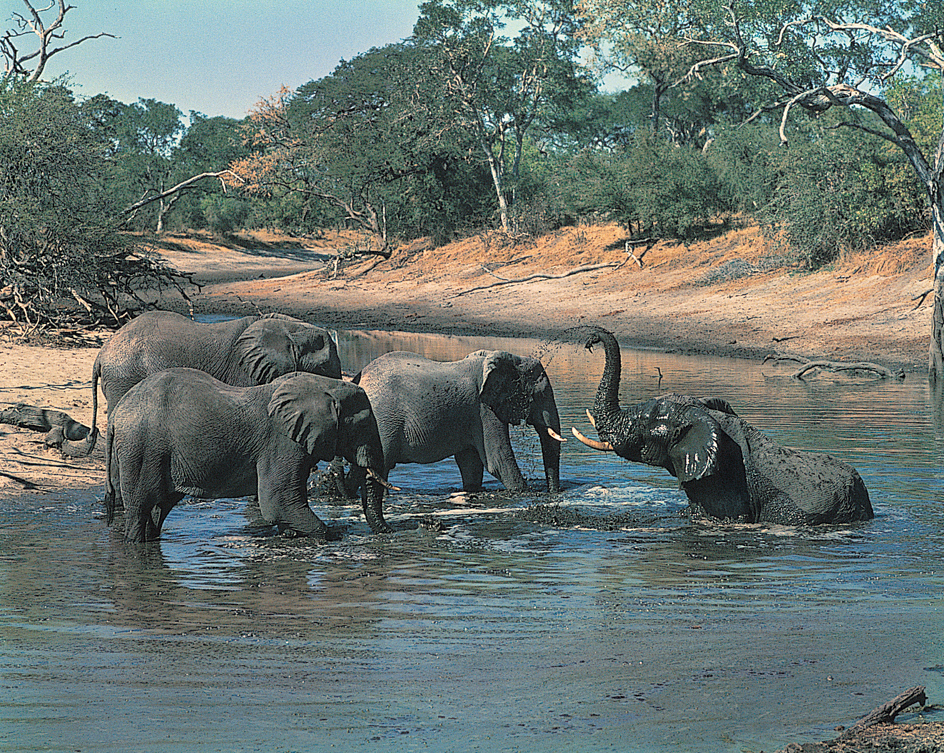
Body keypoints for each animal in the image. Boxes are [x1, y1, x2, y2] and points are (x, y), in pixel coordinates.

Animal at [107, 368, 390, 540]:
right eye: (364, 424)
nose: (388, 532)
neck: (323, 385)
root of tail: (117, 412)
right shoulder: (281, 442)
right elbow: (279, 502)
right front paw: (335, 534)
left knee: (159, 507)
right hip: (141, 448)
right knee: (140, 508)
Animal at [350, 352, 564, 494]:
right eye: (539, 395)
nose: (554, 493)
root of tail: (360, 379)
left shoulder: (471, 416)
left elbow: (470, 464)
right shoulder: (483, 409)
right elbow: (498, 461)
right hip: (383, 422)